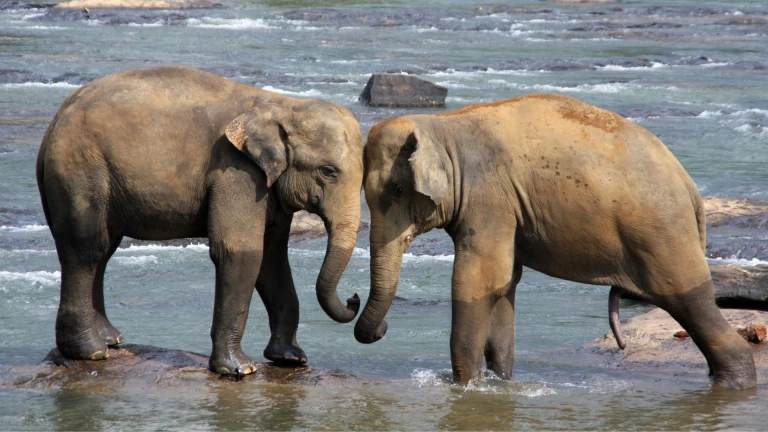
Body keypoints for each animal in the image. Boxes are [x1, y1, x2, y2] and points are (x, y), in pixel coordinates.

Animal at [34, 66, 362, 374]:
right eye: (328, 171)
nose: (354, 299)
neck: (283, 104)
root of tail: (57, 118)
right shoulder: (236, 171)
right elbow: (242, 251)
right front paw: (240, 369)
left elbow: (272, 257)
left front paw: (291, 359)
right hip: (80, 169)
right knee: (86, 248)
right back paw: (90, 352)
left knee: (103, 249)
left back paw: (111, 340)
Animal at [356, 95, 760, 392]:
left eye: (397, 190)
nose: (381, 327)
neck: (442, 126)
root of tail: (690, 187)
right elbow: (505, 283)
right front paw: (500, 383)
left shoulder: (489, 198)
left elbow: (478, 280)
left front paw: (466, 387)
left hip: (663, 233)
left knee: (689, 299)